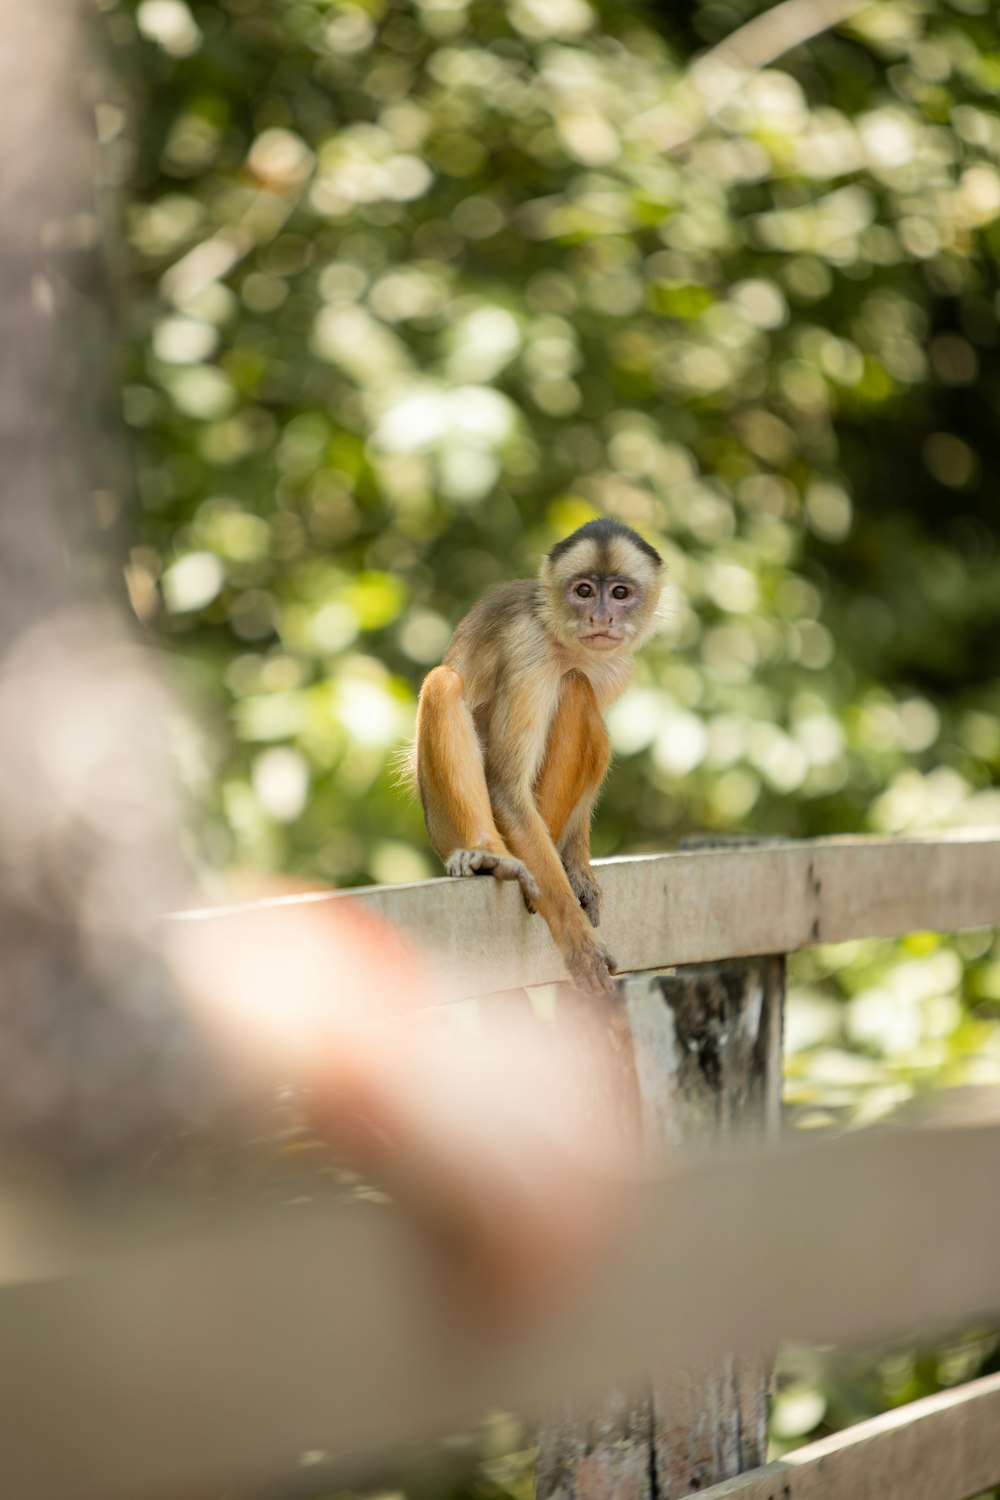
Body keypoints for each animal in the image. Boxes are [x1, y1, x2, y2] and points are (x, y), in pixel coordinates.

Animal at [413, 516, 665, 996]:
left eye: (619, 593)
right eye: (584, 590)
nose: (601, 617)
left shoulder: (617, 666)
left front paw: (578, 868)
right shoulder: (527, 647)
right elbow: (506, 790)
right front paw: (577, 941)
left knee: (578, 691)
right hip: (442, 823)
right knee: (446, 684)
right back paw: (487, 856)